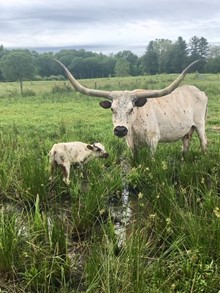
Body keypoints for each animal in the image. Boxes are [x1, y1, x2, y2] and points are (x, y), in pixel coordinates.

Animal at [54, 58, 207, 155]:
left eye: (131, 109)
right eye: (112, 109)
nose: (120, 130)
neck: (135, 125)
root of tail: (198, 91)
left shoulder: (153, 140)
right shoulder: (130, 143)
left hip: (200, 125)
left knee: (204, 143)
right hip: (187, 130)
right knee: (186, 144)